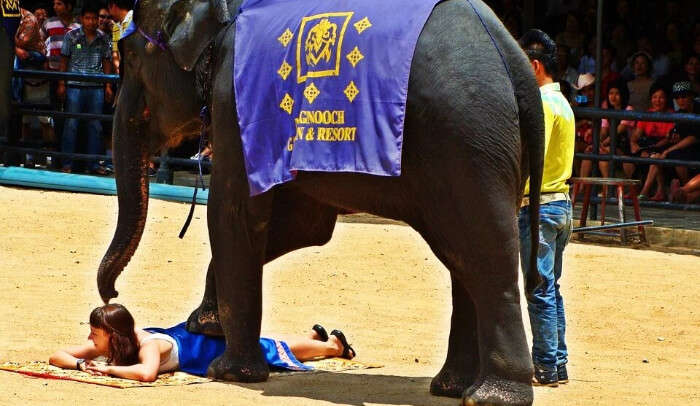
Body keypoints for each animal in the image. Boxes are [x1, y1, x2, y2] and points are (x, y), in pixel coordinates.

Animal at [97, 0, 548, 402]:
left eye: (131, 57)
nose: (112, 296)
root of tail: (513, 58)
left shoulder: (234, 100)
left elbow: (234, 212)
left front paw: (228, 371)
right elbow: (305, 227)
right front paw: (204, 326)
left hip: (466, 141)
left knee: (484, 253)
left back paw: (491, 396)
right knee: (461, 256)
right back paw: (452, 388)